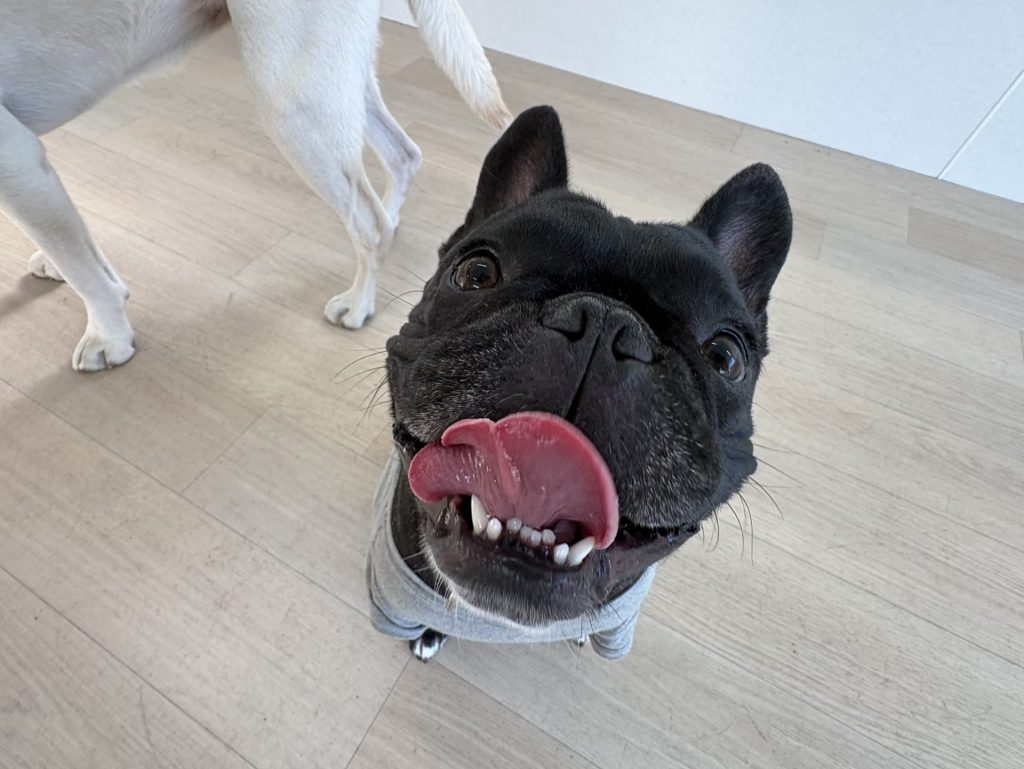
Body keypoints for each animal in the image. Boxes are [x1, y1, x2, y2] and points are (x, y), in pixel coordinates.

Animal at [0, 0, 509, 371]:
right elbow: (76, 238)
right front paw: (59, 266)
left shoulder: (14, 156)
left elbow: (83, 267)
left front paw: (108, 336)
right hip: (334, 81)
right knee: (403, 155)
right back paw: (394, 217)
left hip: (293, 99)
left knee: (369, 223)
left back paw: (359, 303)